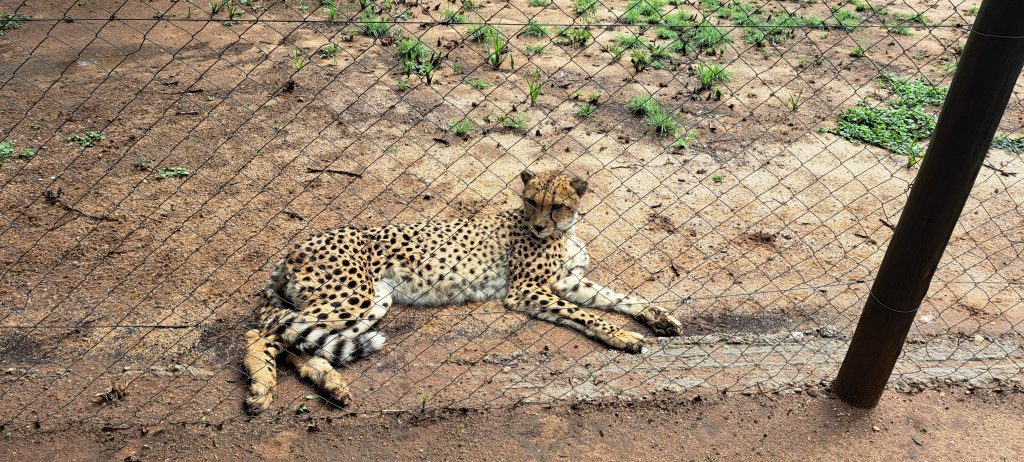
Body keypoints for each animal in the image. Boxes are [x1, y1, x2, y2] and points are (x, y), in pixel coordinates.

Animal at [242, 168, 684, 415]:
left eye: (557, 205)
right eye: (531, 201)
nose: (540, 226)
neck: (563, 231)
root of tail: (292, 249)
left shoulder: (567, 281)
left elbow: (618, 298)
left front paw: (654, 318)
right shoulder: (526, 290)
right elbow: (590, 314)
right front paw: (624, 335)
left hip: (374, 301)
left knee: (295, 339)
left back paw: (330, 383)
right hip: (353, 296)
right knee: (261, 332)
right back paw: (262, 388)